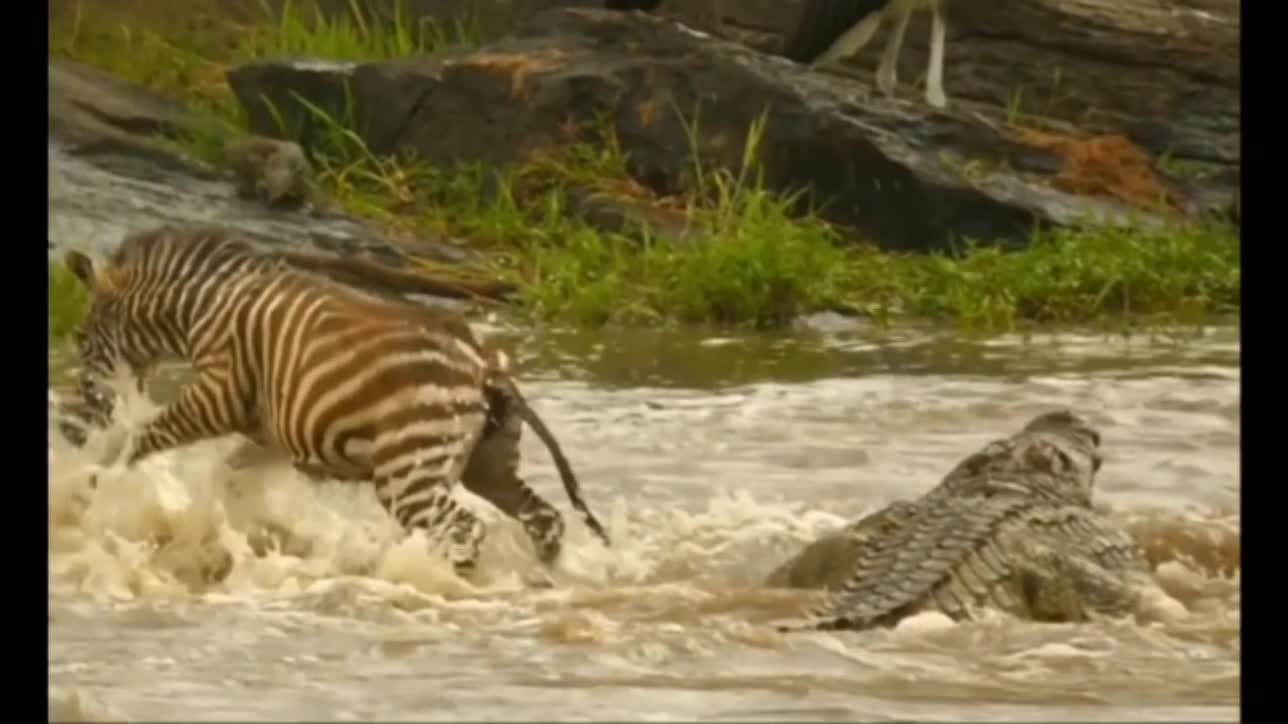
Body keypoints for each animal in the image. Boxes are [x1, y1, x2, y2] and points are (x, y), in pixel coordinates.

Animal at [55, 225, 607, 574]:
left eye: (81, 338)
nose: (87, 408)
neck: (204, 307)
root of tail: (485, 367)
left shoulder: (217, 395)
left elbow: (140, 441)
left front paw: (94, 488)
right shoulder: (267, 435)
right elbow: (229, 479)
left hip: (409, 470)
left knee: (465, 528)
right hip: (487, 464)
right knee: (545, 519)